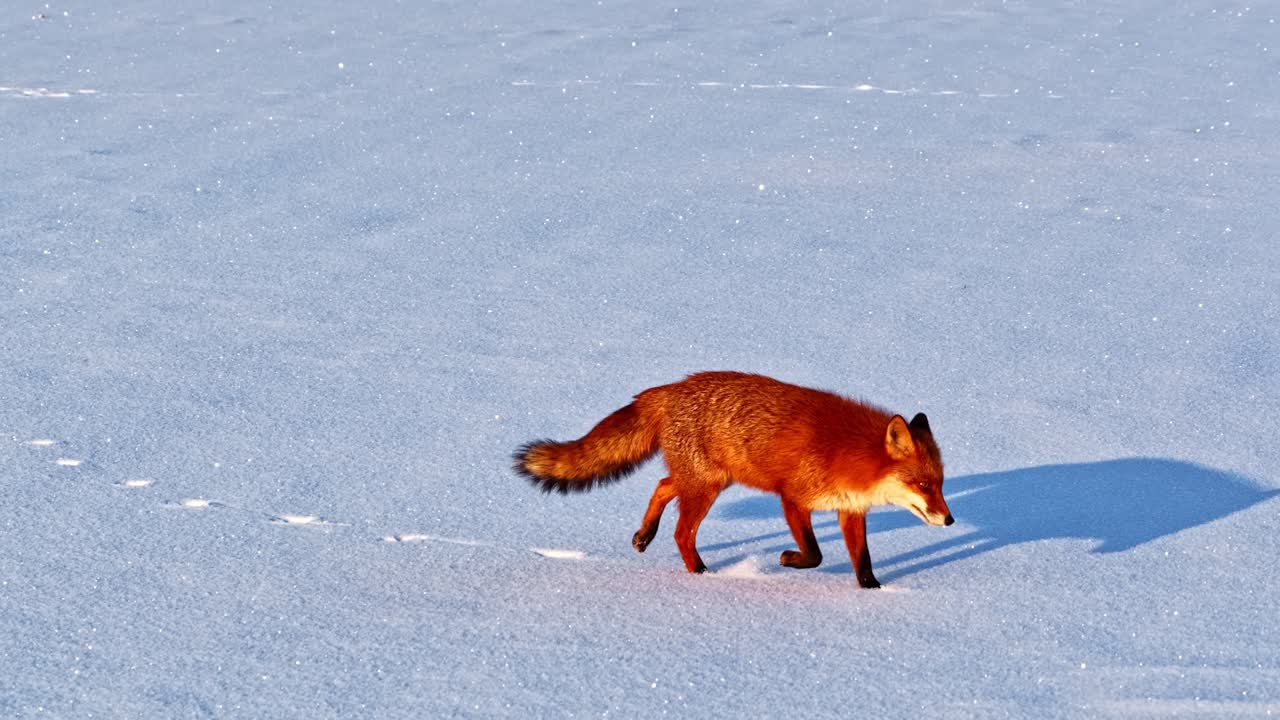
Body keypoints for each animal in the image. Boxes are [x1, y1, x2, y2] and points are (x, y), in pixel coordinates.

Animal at [513, 371, 952, 588]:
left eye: (941, 483)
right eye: (923, 485)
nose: (949, 520)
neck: (849, 456)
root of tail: (667, 388)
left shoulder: (850, 510)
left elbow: (862, 563)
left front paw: (875, 592)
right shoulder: (793, 498)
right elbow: (814, 554)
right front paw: (788, 560)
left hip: (707, 480)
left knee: (662, 487)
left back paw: (644, 535)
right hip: (706, 486)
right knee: (682, 532)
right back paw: (704, 577)